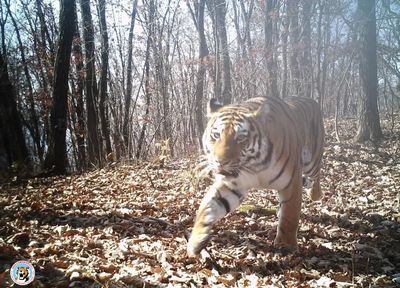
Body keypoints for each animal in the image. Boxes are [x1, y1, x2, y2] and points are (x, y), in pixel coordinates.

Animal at [188, 96, 324, 256]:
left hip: (312, 160)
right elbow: (207, 207)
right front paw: (195, 241)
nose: (220, 162)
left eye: (241, 138)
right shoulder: (233, 184)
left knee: (316, 176)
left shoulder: (291, 182)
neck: (254, 166)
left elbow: (290, 216)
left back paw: (315, 194)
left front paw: (286, 245)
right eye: (216, 135)